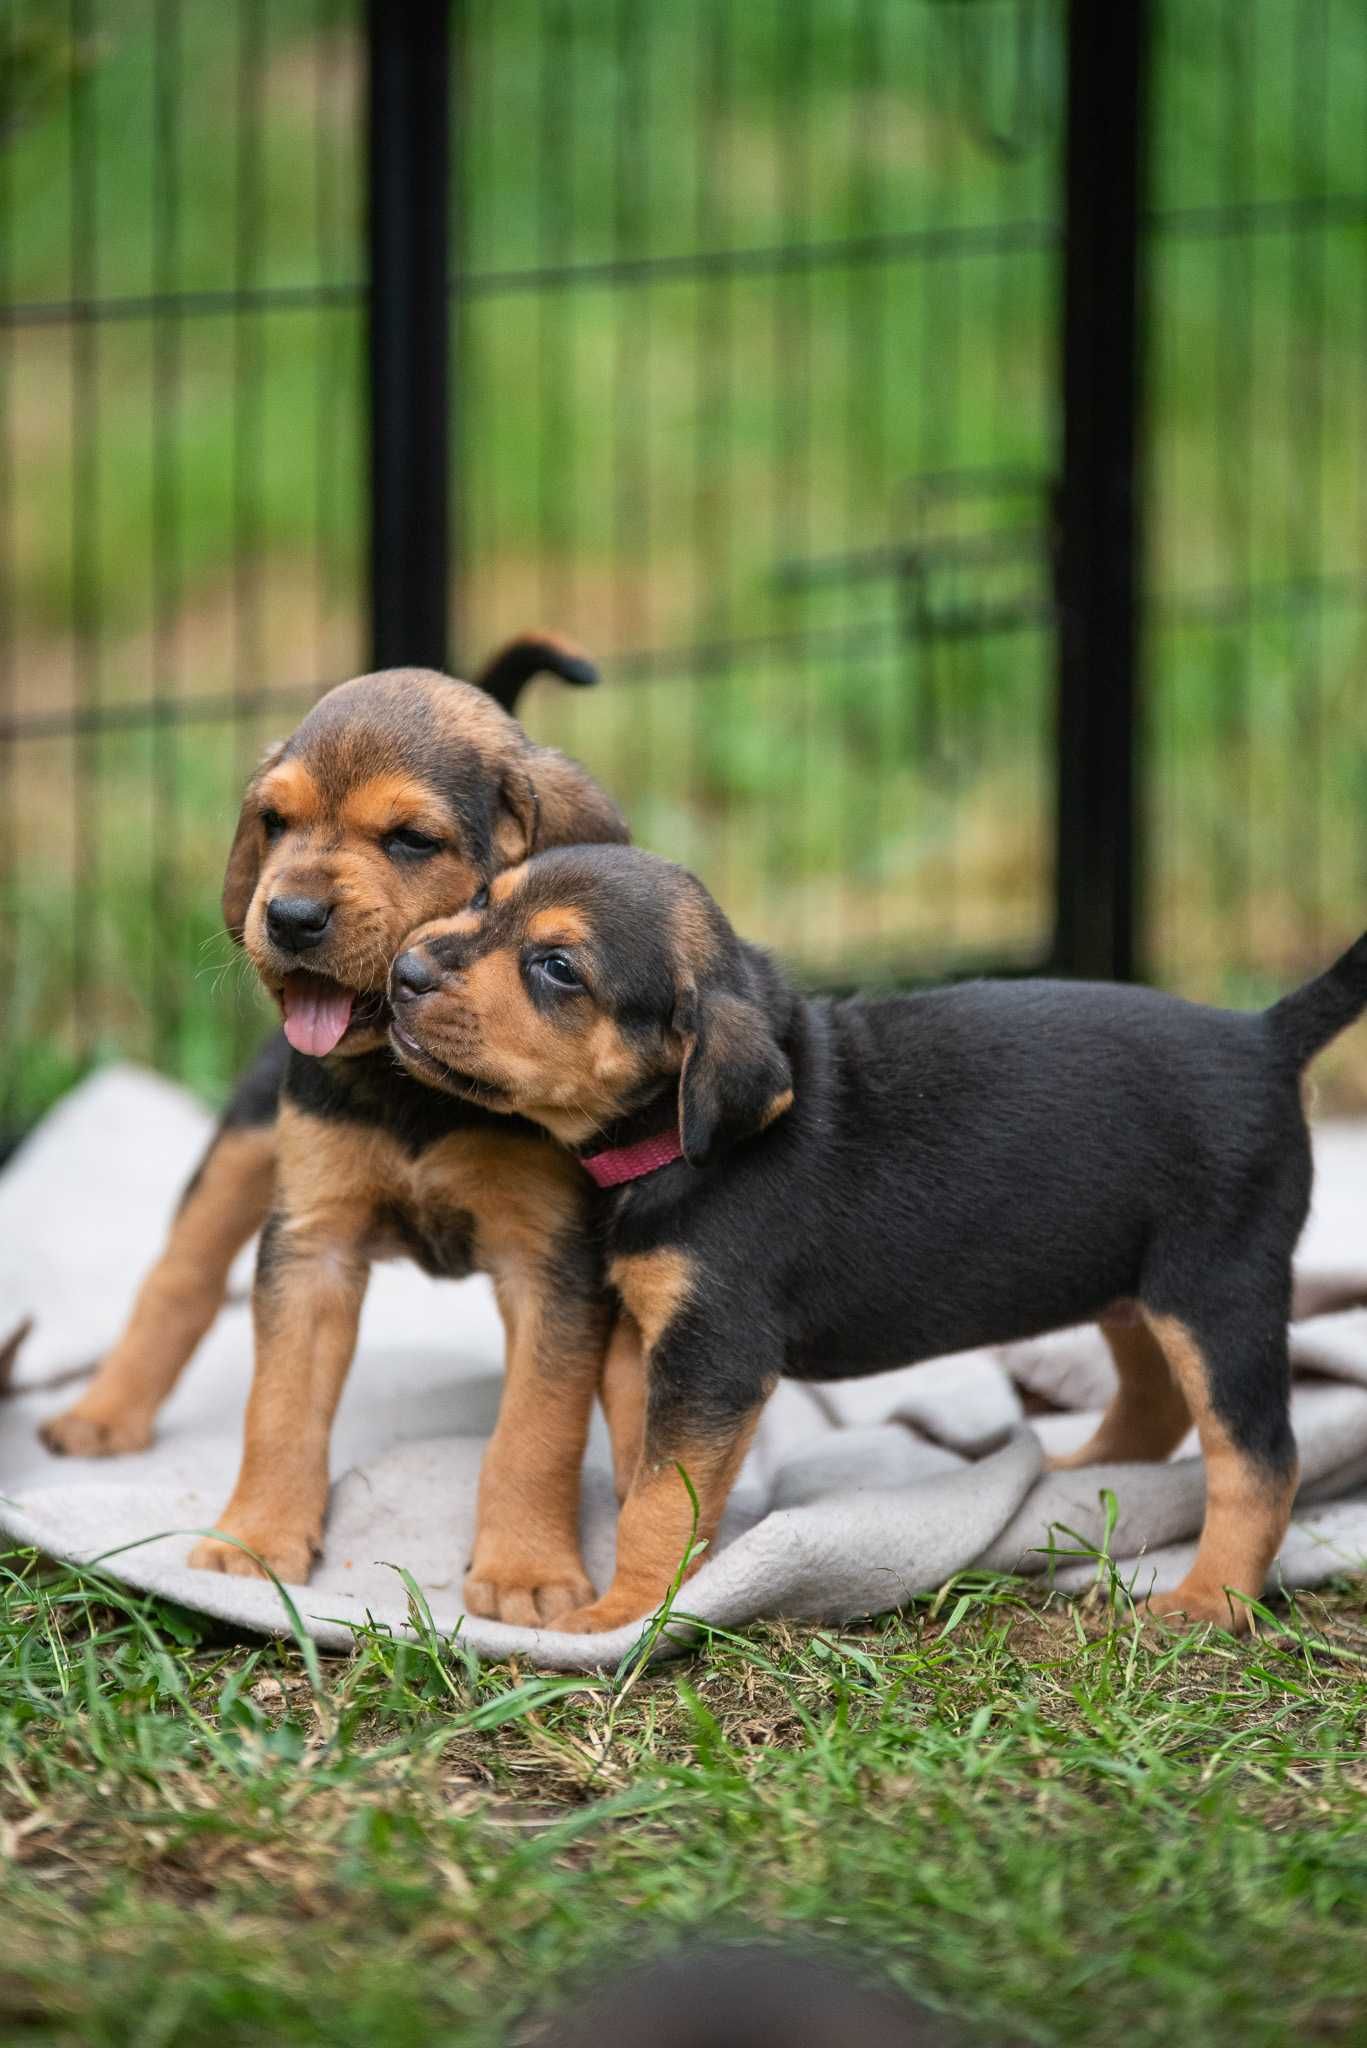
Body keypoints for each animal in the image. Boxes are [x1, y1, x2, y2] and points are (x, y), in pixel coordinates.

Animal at [41, 630, 631, 1622]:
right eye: (274, 823)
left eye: (412, 840)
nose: (287, 916)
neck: (417, 1087)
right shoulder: (312, 1241)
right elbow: (279, 1407)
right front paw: (254, 1545)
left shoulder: (550, 1262)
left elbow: (535, 1428)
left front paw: (525, 1571)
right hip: (246, 1143)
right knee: (179, 1277)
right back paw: (102, 1413)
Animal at [385, 843, 1367, 1630]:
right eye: (481, 898)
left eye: (556, 967)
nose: (403, 972)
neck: (672, 1142)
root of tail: (1263, 1039)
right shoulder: (644, 1336)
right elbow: (646, 1468)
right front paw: (668, 1575)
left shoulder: (714, 1353)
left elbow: (661, 1496)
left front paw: (625, 1611)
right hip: (1128, 1277)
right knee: (1155, 1400)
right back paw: (1075, 1474)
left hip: (1215, 1290)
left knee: (1258, 1459)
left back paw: (1210, 1600)